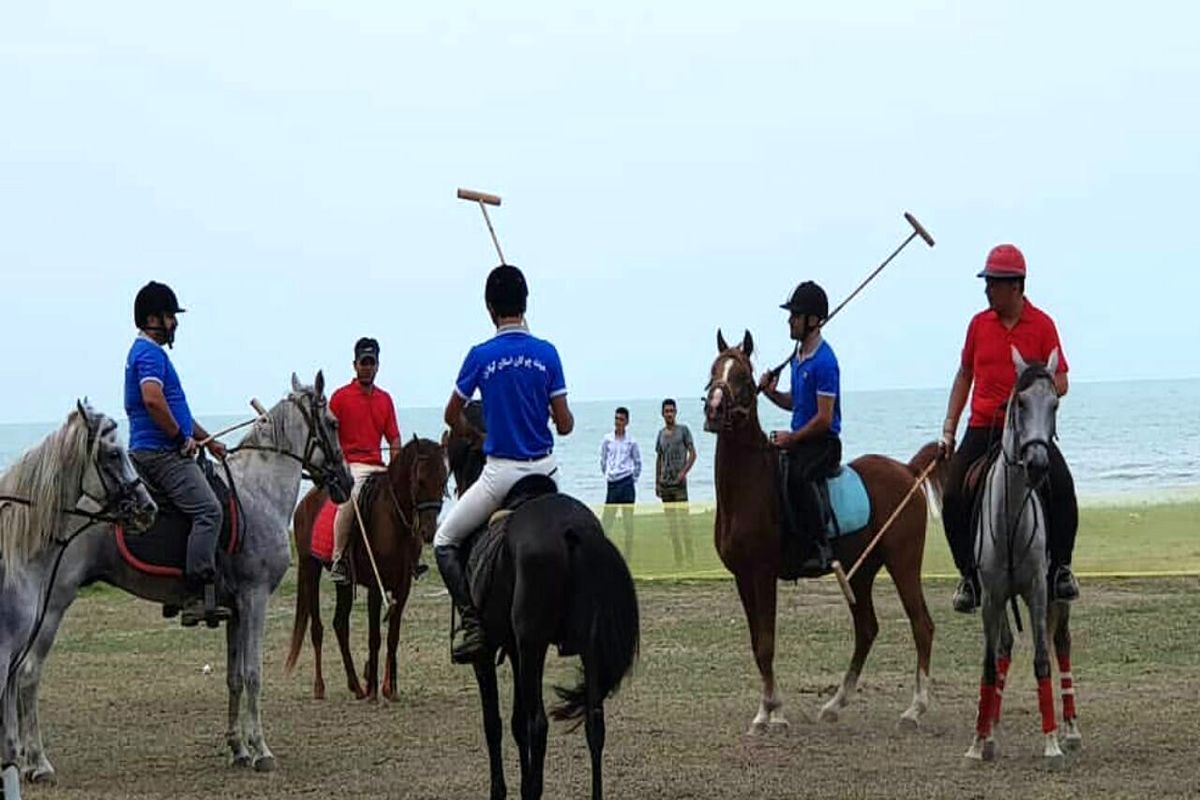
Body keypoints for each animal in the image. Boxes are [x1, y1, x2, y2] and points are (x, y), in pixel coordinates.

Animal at [283, 438, 448, 700]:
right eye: (421, 480)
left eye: (443, 480)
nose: (429, 531)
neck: (394, 521)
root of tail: (307, 501)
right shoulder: (374, 587)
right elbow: (375, 637)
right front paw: (374, 690)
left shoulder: (403, 588)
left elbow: (393, 636)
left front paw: (390, 688)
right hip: (310, 569)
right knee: (317, 628)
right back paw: (321, 687)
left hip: (344, 582)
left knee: (340, 624)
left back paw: (356, 686)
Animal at [446, 407, 638, 800]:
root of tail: (572, 530)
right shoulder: (515, 648)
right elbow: (516, 723)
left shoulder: (488, 654)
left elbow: (496, 723)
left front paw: (503, 790)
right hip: (586, 644)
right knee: (594, 723)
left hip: (533, 644)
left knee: (539, 724)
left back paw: (534, 790)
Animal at [700, 331, 945, 734]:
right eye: (714, 370)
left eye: (744, 378)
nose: (715, 411)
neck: (748, 484)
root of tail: (907, 470)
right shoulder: (742, 577)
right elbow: (755, 644)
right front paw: (763, 713)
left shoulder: (763, 574)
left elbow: (766, 643)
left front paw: (776, 714)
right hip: (860, 571)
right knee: (867, 629)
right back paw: (835, 704)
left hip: (903, 561)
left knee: (921, 624)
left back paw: (915, 708)